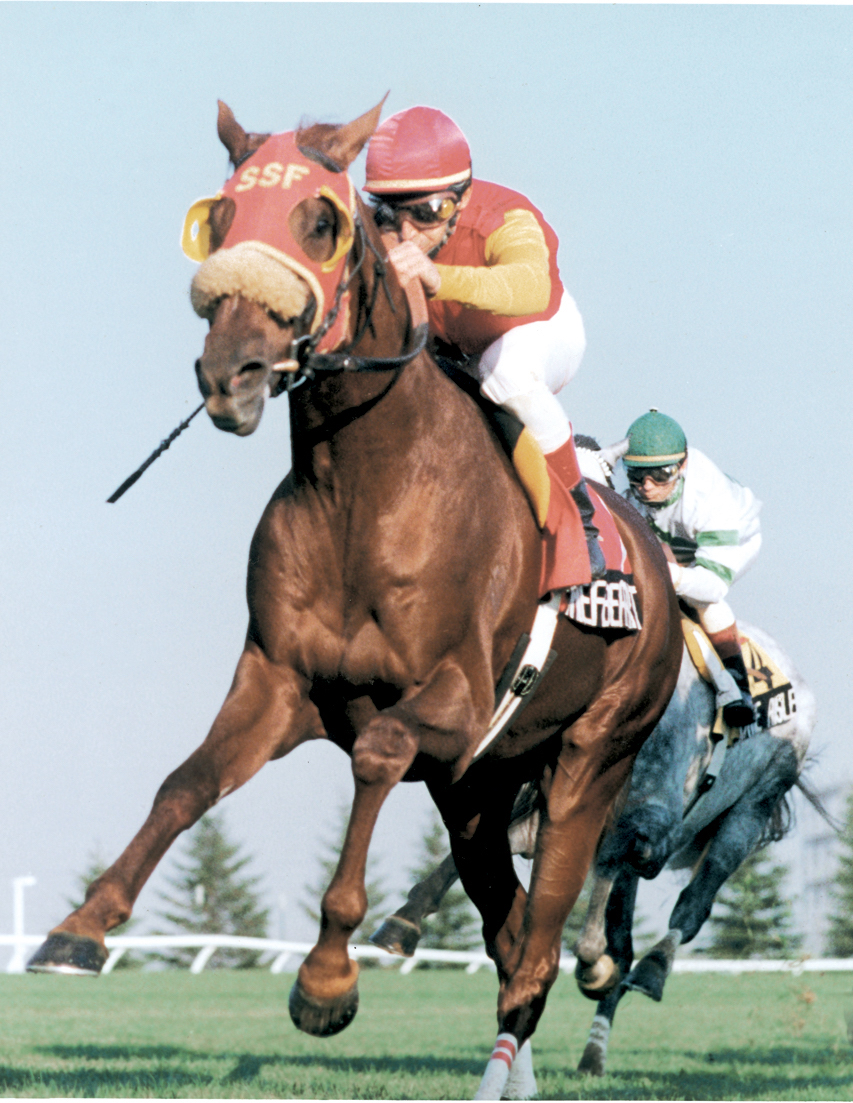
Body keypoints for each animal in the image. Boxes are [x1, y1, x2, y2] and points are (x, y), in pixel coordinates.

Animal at [28, 101, 679, 1094]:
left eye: (321, 223)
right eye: (219, 218)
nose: (231, 371)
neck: (359, 490)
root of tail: (662, 568)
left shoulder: (453, 697)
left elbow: (373, 754)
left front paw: (326, 978)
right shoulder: (279, 683)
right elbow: (185, 783)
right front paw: (78, 927)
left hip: (589, 758)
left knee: (535, 947)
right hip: (476, 788)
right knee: (507, 934)